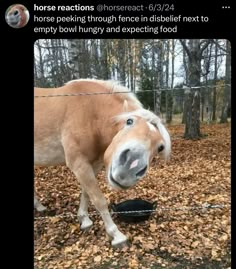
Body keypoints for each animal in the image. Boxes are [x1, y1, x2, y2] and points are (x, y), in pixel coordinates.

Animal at [34, 78, 171, 246]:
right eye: (129, 121)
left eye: (160, 147)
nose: (129, 167)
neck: (89, 112)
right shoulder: (79, 164)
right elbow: (99, 199)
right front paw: (116, 235)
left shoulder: (93, 165)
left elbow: (87, 193)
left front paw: (84, 220)